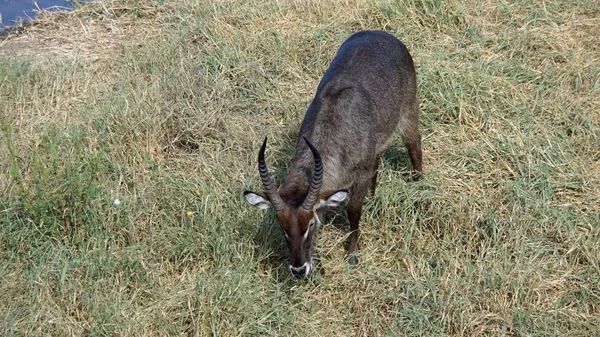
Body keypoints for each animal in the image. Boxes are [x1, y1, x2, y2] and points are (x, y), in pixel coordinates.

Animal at [244, 30, 422, 276]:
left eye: (310, 224)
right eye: (283, 228)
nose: (298, 270)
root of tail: (380, 33)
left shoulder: (360, 175)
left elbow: (353, 211)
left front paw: (352, 256)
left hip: (409, 115)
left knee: (415, 149)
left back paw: (421, 189)